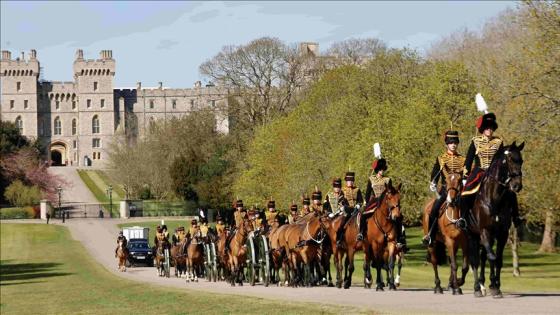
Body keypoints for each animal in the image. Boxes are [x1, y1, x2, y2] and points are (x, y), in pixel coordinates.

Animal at [466, 143, 524, 298]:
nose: (517, 186)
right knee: (474, 260)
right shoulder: (485, 231)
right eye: (509, 160)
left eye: (521, 160)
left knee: (483, 257)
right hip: (471, 235)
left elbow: (497, 259)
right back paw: (477, 288)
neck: (495, 198)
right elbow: (490, 257)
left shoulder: (502, 233)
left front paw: (495, 286)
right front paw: (491, 285)